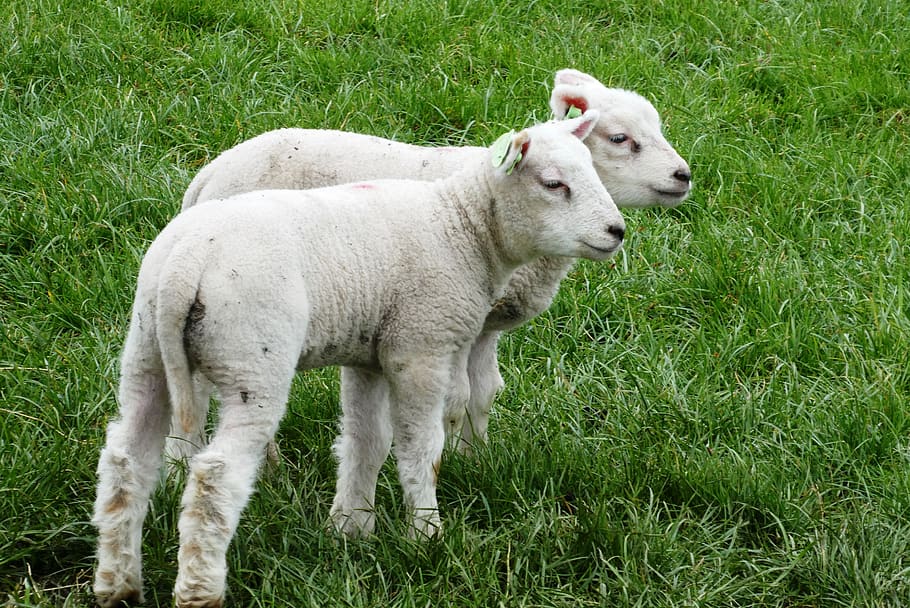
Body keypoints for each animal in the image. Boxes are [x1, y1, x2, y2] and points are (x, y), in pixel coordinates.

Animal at [92, 111, 626, 608]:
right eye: (553, 183)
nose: (616, 230)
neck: (462, 228)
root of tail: (185, 266)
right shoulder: (420, 347)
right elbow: (420, 449)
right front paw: (426, 537)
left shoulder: (367, 355)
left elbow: (365, 442)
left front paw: (350, 530)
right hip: (251, 359)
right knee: (215, 475)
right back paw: (200, 589)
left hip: (145, 351)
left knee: (125, 460)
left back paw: (119, 584)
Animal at [168, 68, 691, 462]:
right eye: (621, 138)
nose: (683, 175)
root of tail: (206, 178)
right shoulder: (445, 319)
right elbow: (454, 399)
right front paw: (452, 464)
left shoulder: (485, 323)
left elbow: (485, 392)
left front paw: (479, 459)